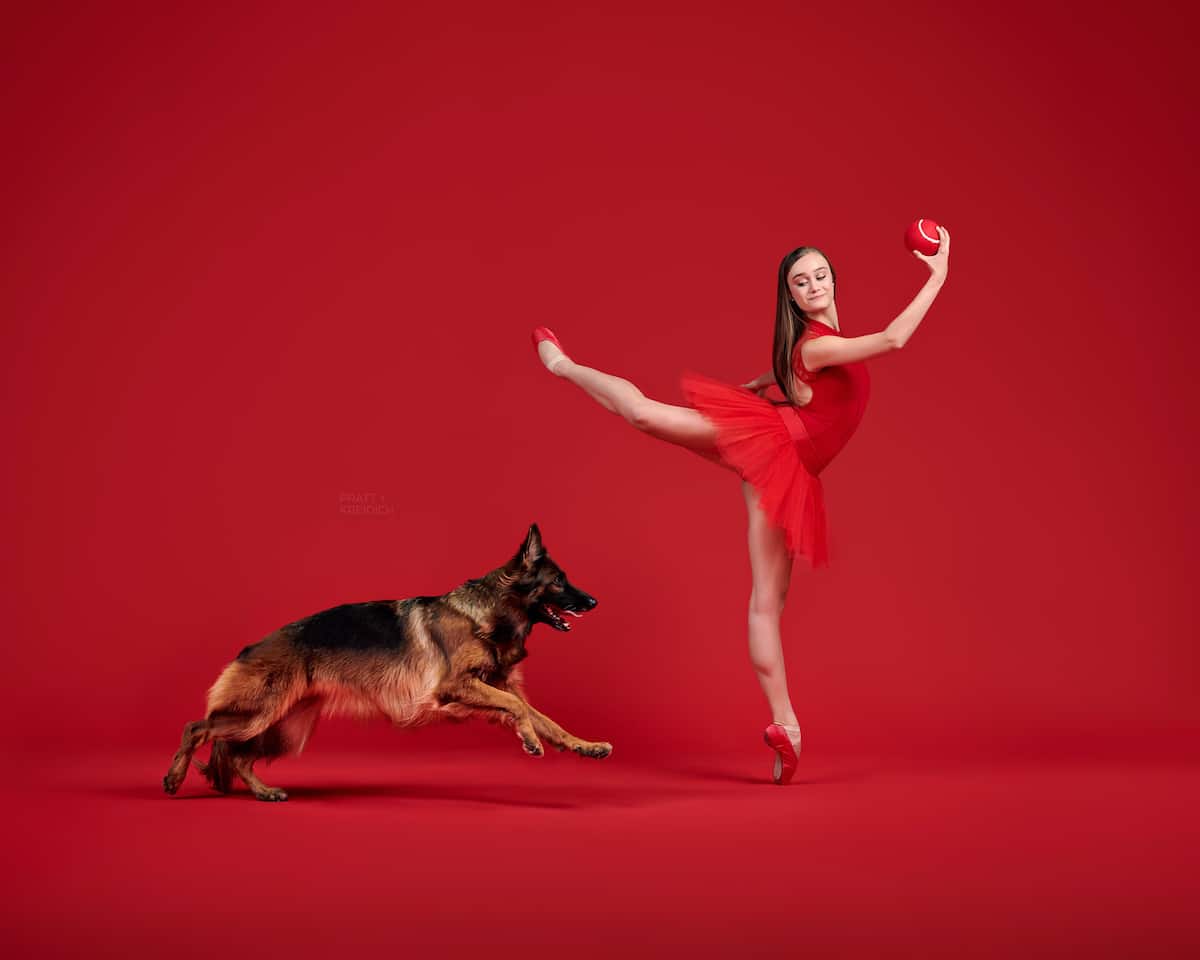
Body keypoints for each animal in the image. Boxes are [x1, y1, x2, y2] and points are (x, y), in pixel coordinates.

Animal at [162, 525, 609, 801]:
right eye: (558, 581)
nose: (593, 602)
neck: (487, 615)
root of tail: (250, 647)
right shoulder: (456, 687)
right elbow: (520, 710)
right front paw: (530, 741)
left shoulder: (490, 689)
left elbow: (545, 719)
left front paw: (583, 746)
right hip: (259, 714)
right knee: (196, 728)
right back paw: (174, 778)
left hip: (282, 728)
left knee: (236, 756)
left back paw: (264, 792)